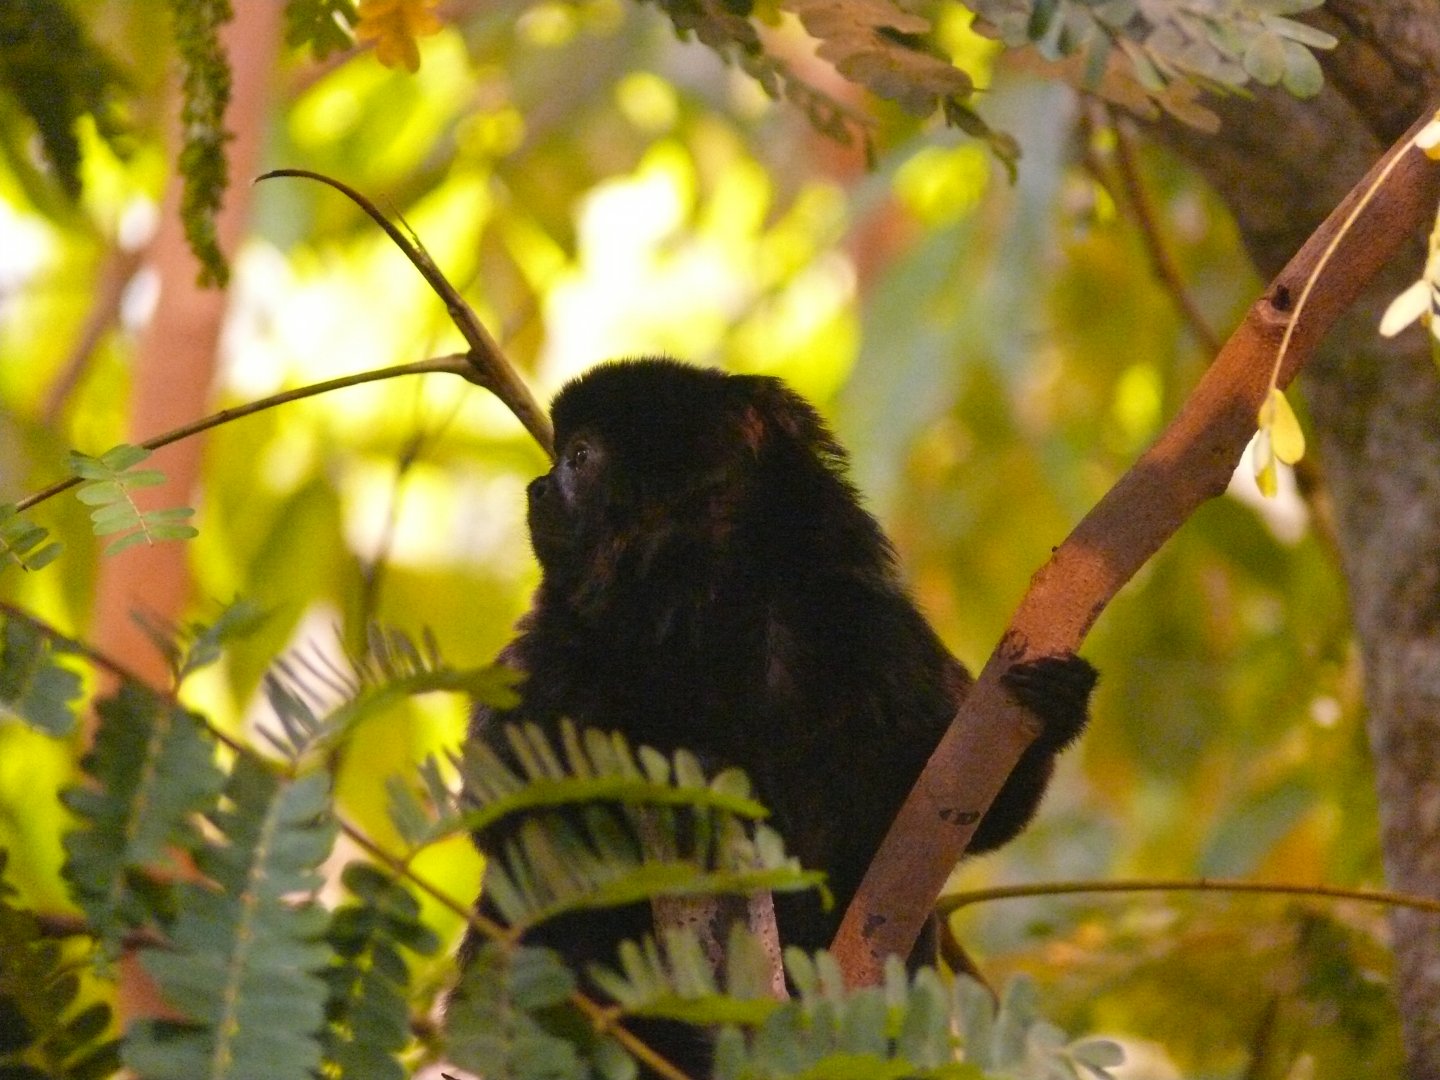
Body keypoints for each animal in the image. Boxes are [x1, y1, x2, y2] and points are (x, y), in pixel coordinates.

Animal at [455, 357, 1095, 1072]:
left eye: (580, 457)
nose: (538, 486)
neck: (709, 609)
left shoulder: (873, 629)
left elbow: (962, 812)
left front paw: (1055, 711)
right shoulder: (550, 647)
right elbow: (498, 802)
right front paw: (688, 781)